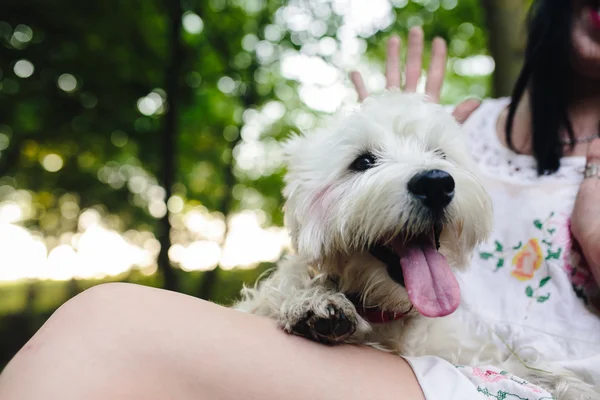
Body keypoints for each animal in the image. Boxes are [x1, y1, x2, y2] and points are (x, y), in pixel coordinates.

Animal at [232, 91, 596, 400]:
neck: (389, 315)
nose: (435, 183)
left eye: (440, 153)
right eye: (362, 162)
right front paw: (312, 302)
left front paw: (569, 384)